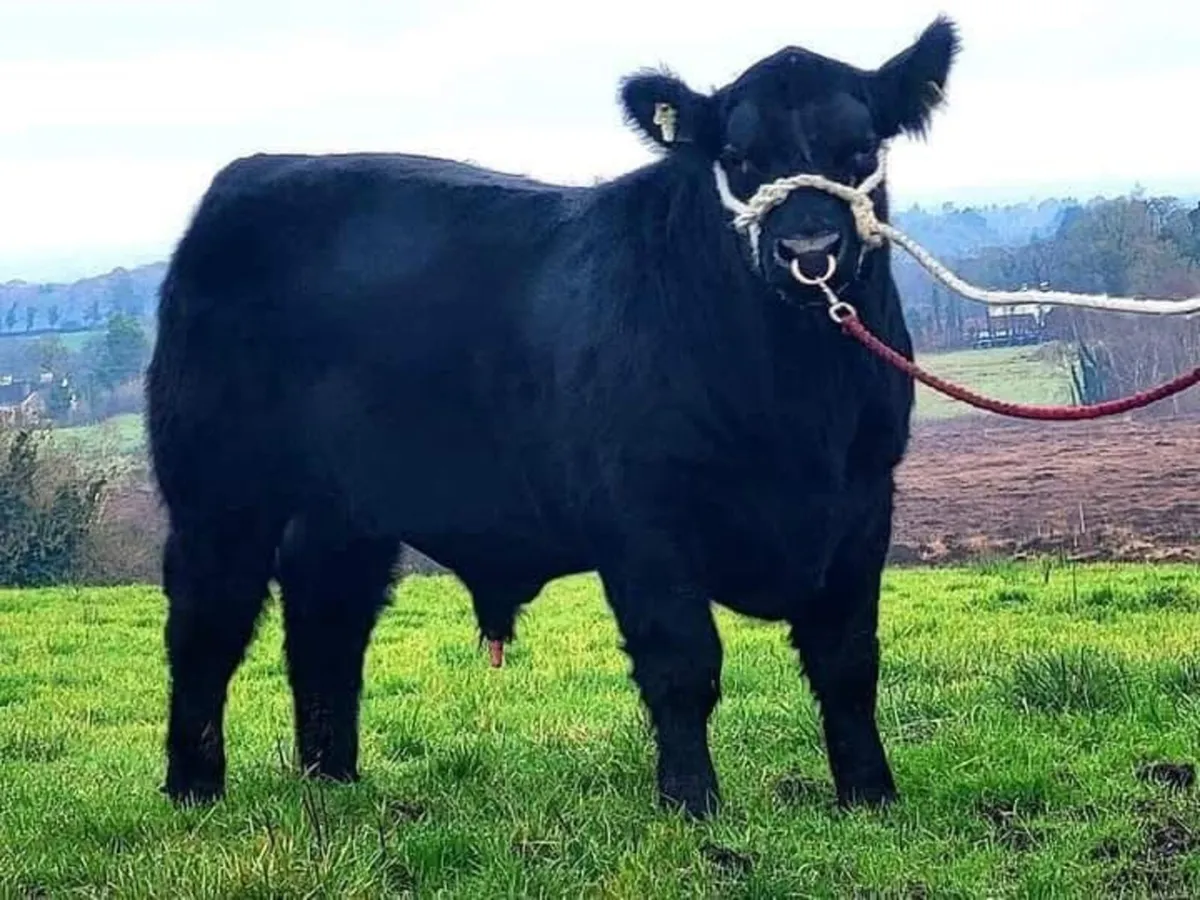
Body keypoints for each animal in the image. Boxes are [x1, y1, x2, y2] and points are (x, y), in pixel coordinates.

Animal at [145, 16, 960, 819]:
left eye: (861, 148)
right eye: (737, 158)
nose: (809, 249)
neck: (794, 401)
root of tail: (254, 173)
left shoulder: (862, 504)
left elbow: (847, 660)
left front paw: (869, 794)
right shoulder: (643, 521)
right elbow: (682, 663)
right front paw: (691, 803)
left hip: (343, 510)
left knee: (327, 622)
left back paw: (332, 778)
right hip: (220, 493)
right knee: (206, 624)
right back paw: (194, 788)